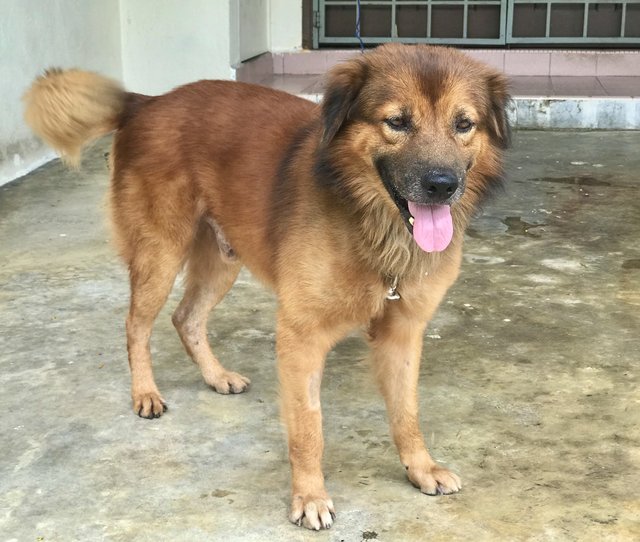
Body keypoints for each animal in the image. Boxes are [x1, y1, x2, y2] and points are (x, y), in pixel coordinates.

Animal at [25, 45, 510, 532]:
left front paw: (420, 467)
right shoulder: (301, 338)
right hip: (160, 253)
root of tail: (147, 102)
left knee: (186, 318)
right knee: (136, 326)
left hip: (222, 260)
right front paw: (310, 496)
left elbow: (407, 412)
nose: (442, 185)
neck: (372, 223)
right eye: (397, 122)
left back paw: (216, 376)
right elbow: (308, 428)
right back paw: (145, 393)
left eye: (463, 124)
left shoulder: (403, 332)